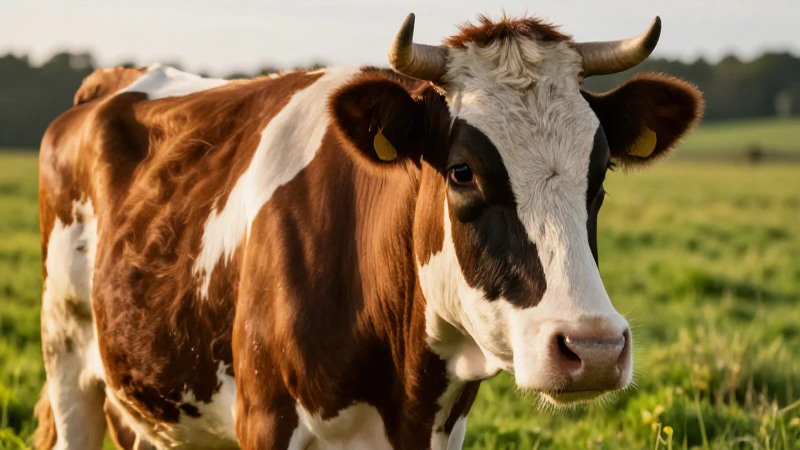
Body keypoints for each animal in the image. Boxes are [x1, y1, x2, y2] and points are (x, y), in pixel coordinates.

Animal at [34, 12, 702, 450]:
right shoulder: (264, 419)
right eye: (462, 171)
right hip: (67, 357)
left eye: (601, 170)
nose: (593, 349)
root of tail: (109, 82)